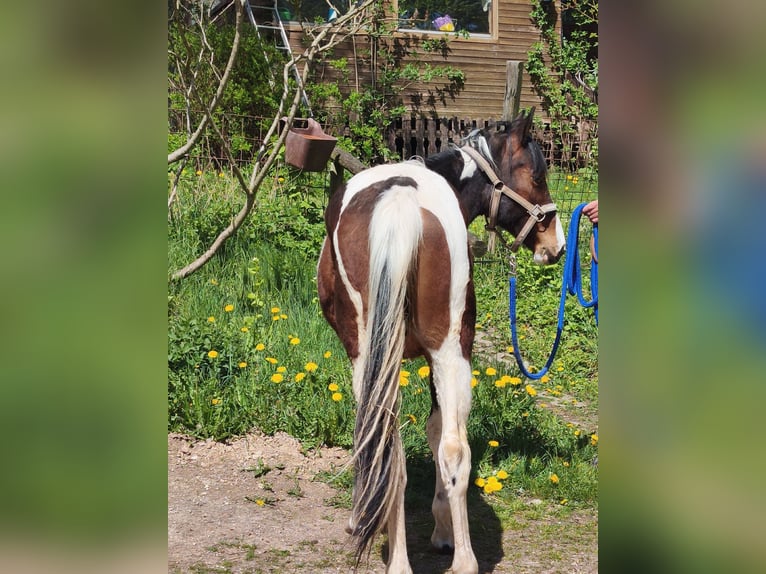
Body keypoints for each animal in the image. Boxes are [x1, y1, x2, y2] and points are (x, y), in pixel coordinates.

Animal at [316, 108, 565, 574]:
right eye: (538, 176)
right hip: (446, 353)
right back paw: (449, 559)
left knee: (401, 448)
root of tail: (401, 201)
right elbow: (429, 436)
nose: (555, 245)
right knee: (436, 449)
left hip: (413, 352)